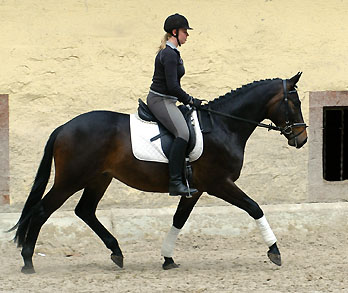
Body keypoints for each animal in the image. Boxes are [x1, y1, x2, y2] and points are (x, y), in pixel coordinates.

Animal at [8, 72, 308, 272]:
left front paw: (168, 258)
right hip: (71, 180)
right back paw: (28, 261)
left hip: (99, 178)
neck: (224, 125)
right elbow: (254, 207)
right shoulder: (219, 183)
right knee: (42, 211)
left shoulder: (195, 190)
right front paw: (274, 251)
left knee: (85, 211)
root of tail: (64, 127)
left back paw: (116, 252)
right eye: (294, 103)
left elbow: (179, 219)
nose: (302, 139)